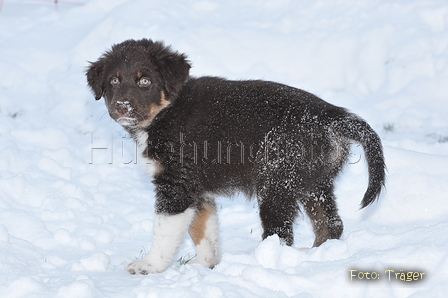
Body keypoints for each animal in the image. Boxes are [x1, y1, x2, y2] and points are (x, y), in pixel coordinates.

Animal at [86, 39, 384, 274]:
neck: (167, 112)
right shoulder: (198, 191)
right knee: (330, 225)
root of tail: (330, 115)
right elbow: (203, 231)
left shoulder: (176, 186)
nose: (122, 106)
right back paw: (316, 256)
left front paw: (149, 266)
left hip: (276, 181)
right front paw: (204, 264)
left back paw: (263, 262)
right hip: (313, 181)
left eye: (145, 81)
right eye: (114, 80)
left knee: (282, 234)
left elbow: (164, 232)